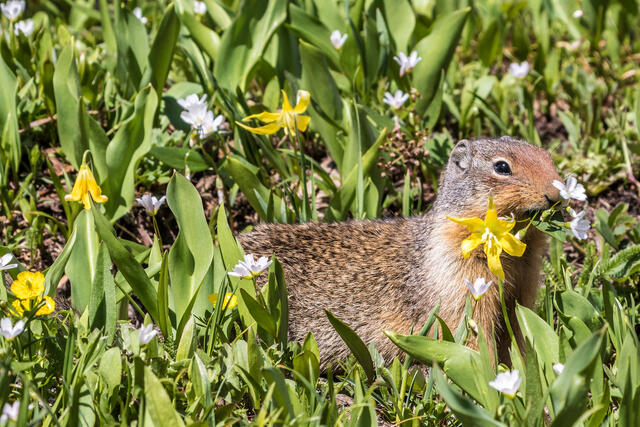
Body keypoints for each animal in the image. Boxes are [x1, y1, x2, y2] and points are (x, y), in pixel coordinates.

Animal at [238, 136, 562, 366]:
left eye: (548, 157)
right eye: (502, 167)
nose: (556, 194)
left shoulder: (522, 288)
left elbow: (515, 331)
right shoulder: (459, 280)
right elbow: (470, 331)